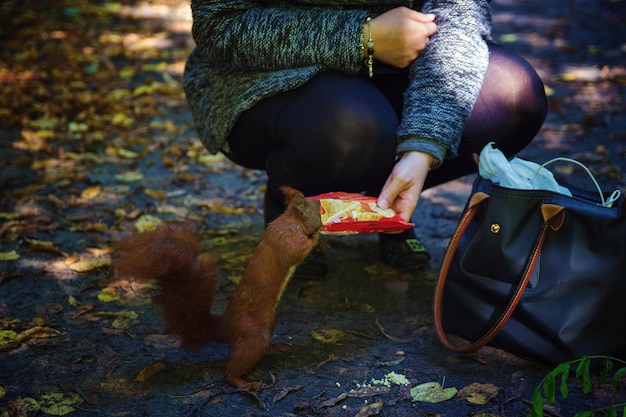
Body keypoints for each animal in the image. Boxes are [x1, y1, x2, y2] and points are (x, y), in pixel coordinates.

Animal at [112, 187, 320, 388]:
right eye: (319, 207)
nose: (323, 211)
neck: (290, 219)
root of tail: (227, 327)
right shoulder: (285, 239)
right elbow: (296, 251)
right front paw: (317, 237)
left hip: (269, 320)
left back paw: (275, 349)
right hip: (253, 333)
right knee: (233, 367)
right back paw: (243, 382)